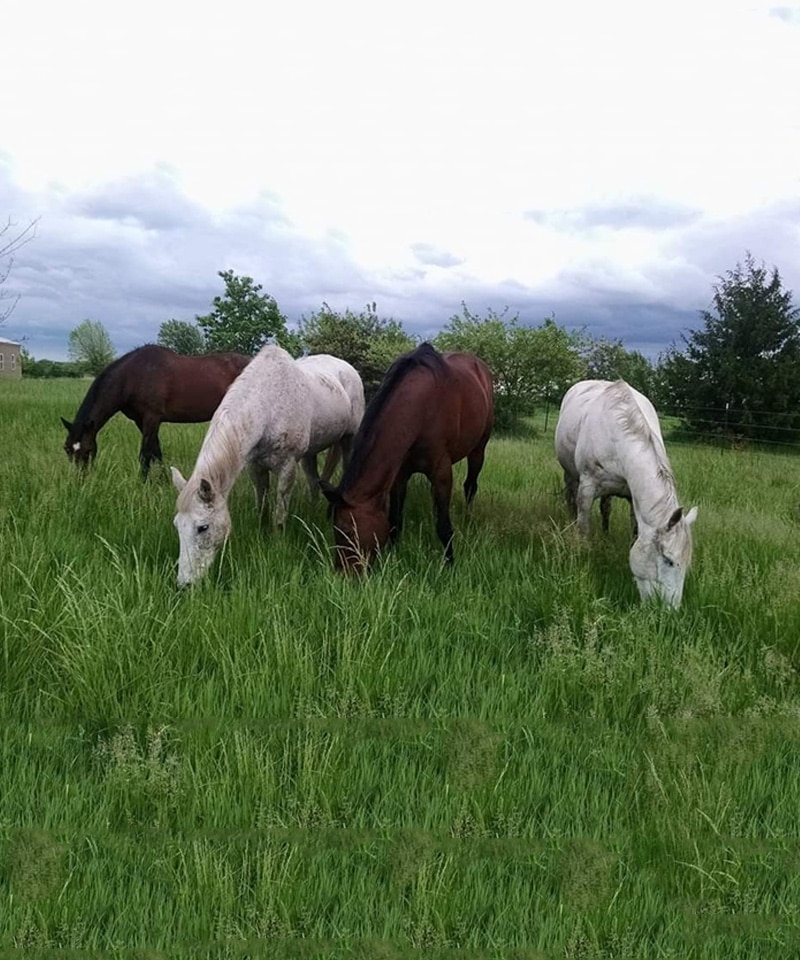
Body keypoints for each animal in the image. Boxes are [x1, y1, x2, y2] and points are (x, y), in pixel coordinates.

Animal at [61, 344, 250, 478]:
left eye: (87, 450)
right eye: (67, 449)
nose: (79, 479)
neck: (132, 377)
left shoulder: (152, 418)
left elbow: (145, 453)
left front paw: (142, 483)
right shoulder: (141, 420)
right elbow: (156, 451)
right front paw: (165, 480)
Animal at [170, 345, 365, 587]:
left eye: (203, 527)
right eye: (177, 525)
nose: (184, 584)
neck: (267, 406)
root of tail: (348, 368)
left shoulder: (287, 466)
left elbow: (280, 510)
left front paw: (278, 540)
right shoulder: (255, 466)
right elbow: (261, 500)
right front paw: (260, 530)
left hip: (348, 439)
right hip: (310, 453)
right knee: (313, 482)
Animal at [320, 342, 494, 573]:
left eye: (348, 531)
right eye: (335, 531)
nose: (343, 574)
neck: (422, 409)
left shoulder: (441, 473)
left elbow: (443, 525)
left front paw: (449, 563)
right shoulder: (399, 475)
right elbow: (395, 520)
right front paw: (391, 556)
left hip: (478, 449)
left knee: (470, 486)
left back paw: (467, 519)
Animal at [555, 379, 698, 608]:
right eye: (668, 560)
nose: (670, 610)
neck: (617, 437)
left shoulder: (632, 497)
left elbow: (635, 532)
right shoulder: (586, 489)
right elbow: (583, 525)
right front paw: (582, 555)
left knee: (606, 508)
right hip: (570, 475)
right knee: (571, 499)